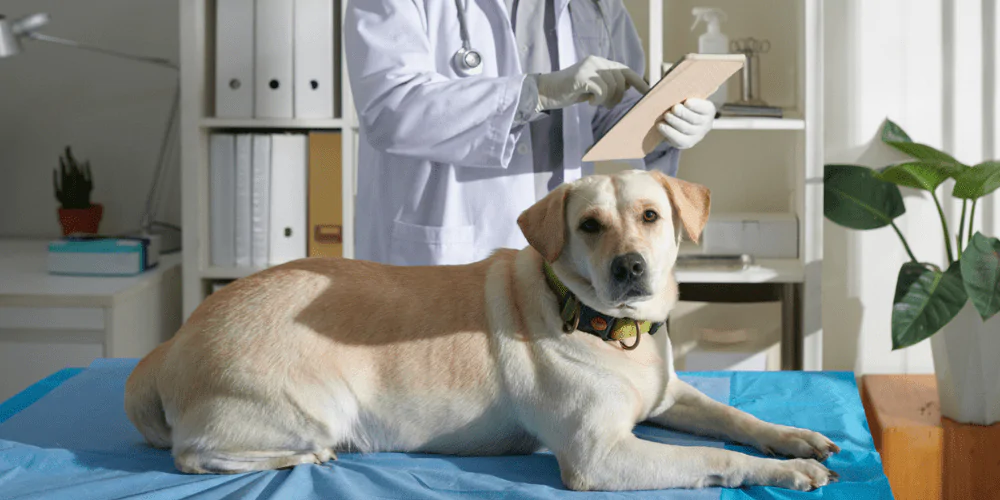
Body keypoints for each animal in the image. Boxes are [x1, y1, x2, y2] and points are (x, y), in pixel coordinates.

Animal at [127, 170, 844, 490]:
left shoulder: (672, 396)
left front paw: (795, 438)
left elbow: (734, 418)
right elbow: (711, 457)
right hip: (314, 408)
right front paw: (783, 472)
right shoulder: (600, 457)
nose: (630, 267)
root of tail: (169, 347)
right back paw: (302, 456)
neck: (607, 328)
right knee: (194, 453)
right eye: (589, 226)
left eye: (650, 216)